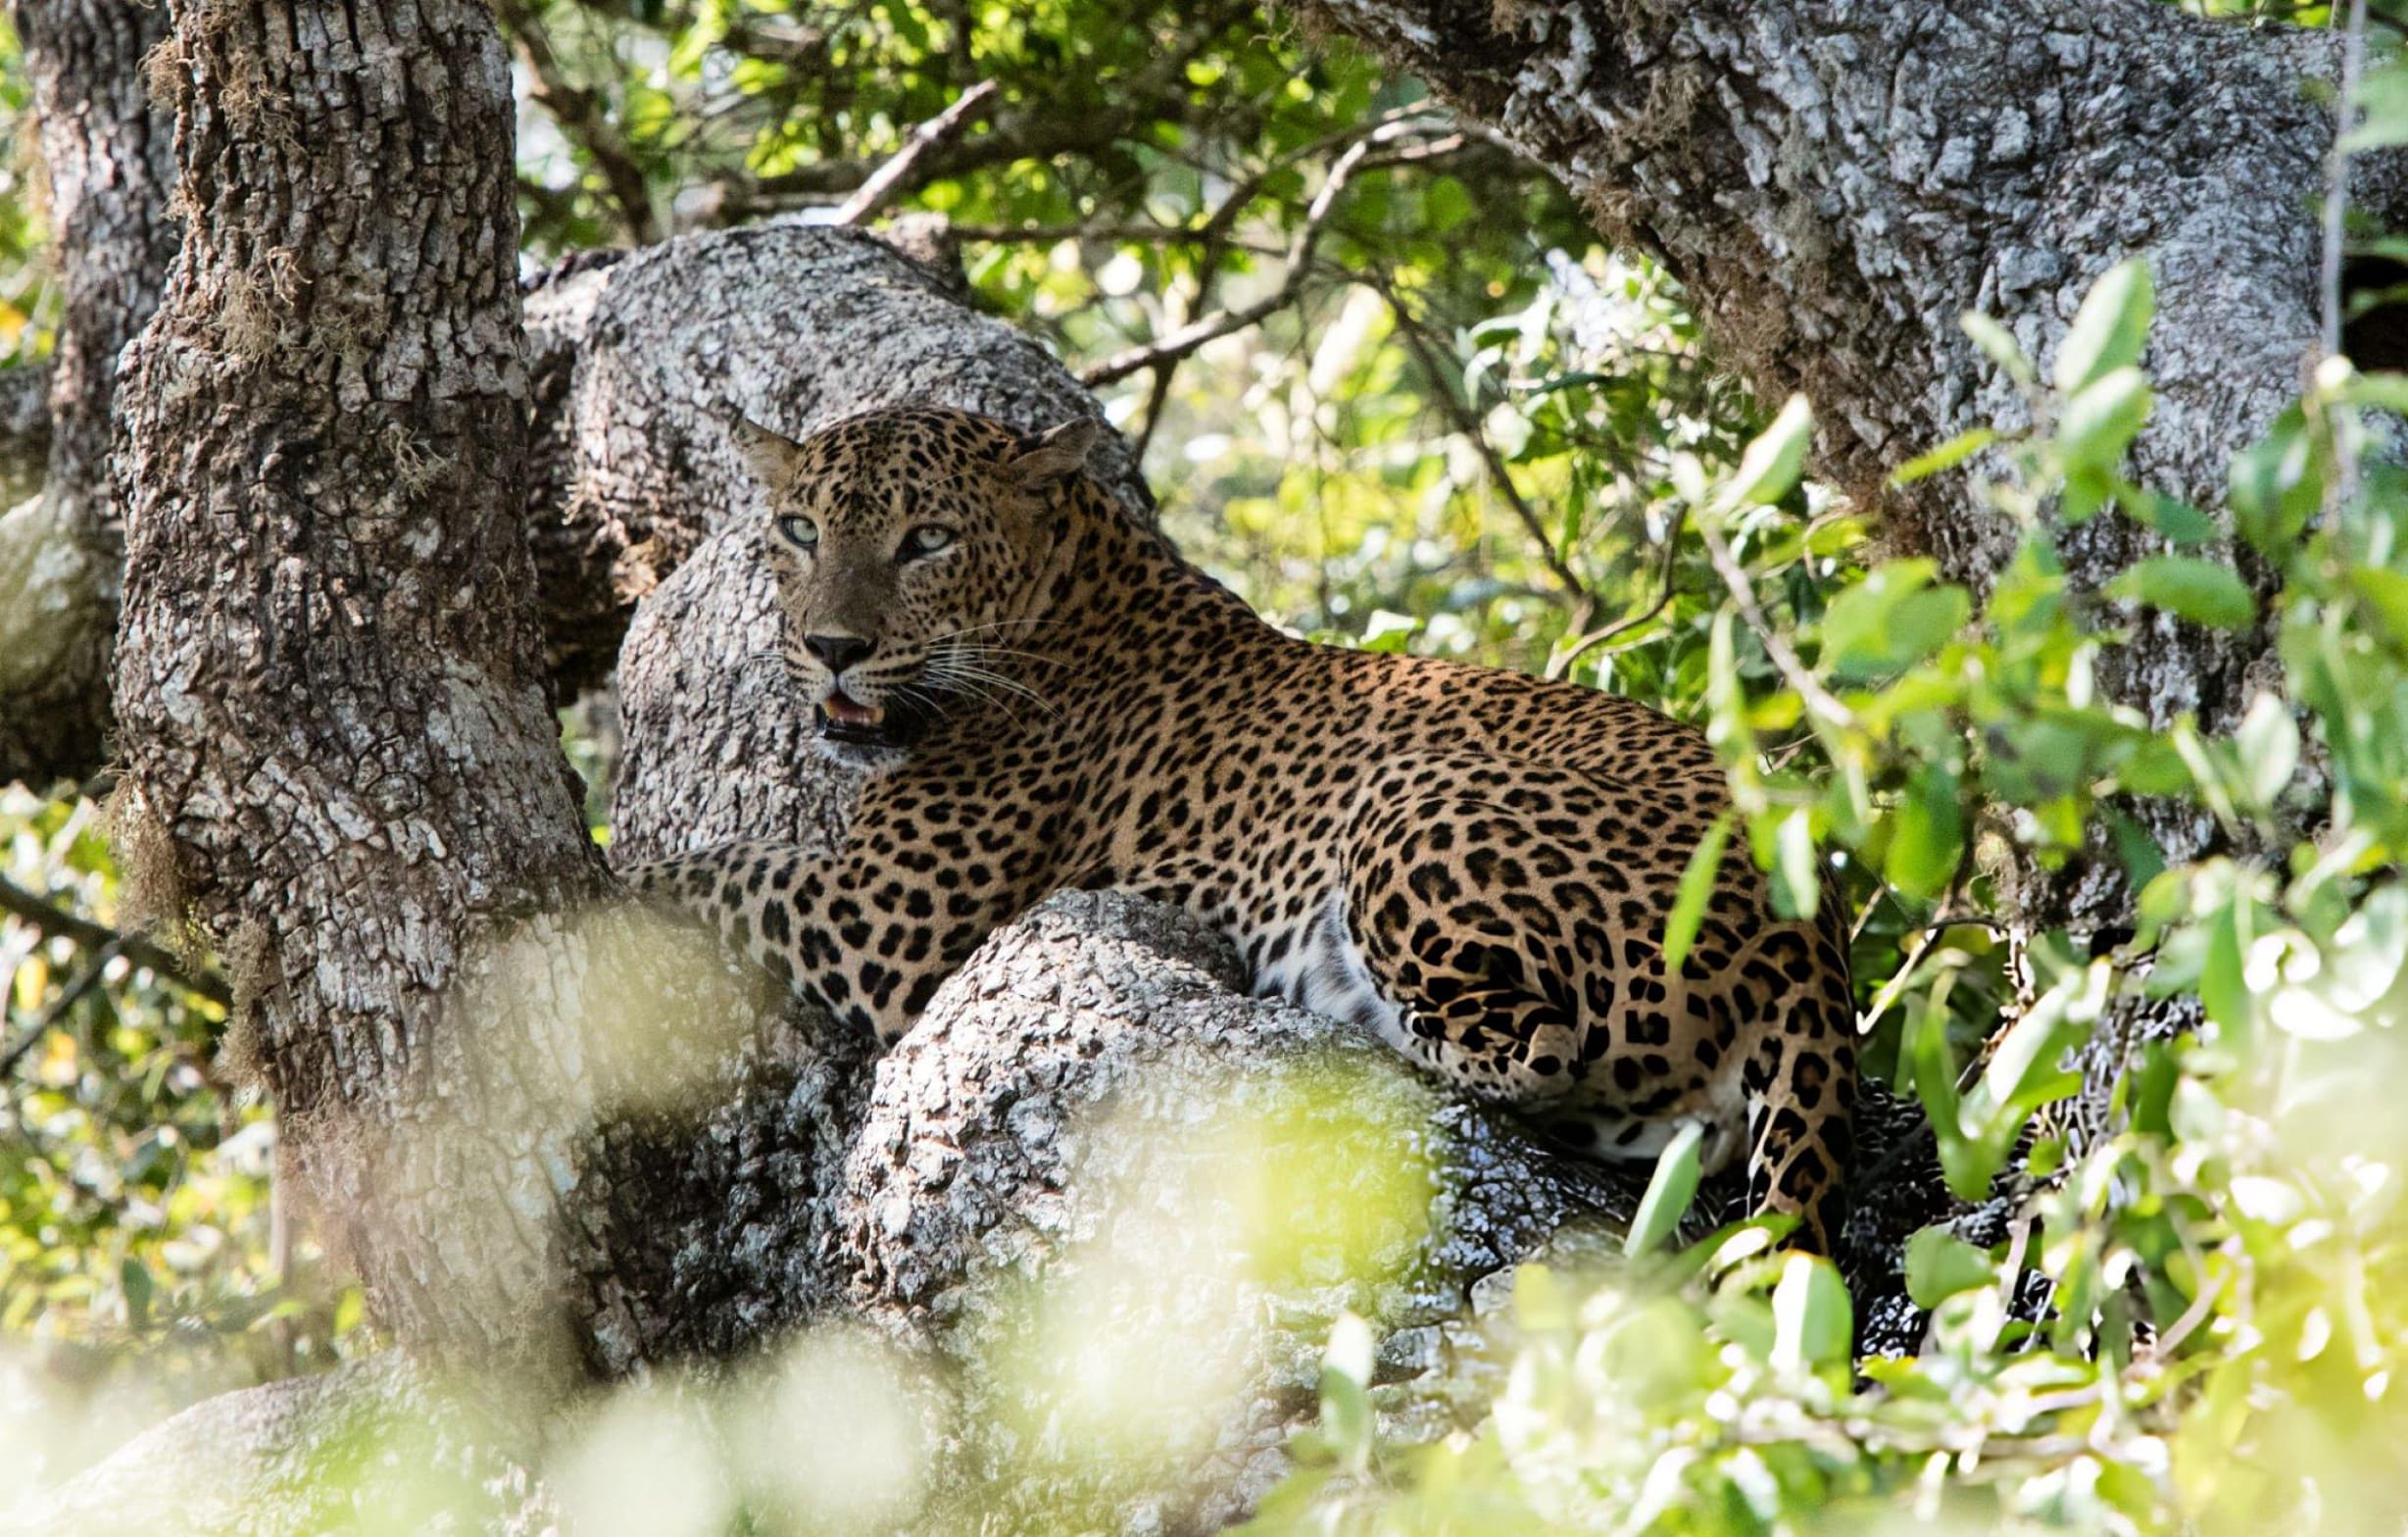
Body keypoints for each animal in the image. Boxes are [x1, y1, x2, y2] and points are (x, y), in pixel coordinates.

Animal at [620, 404, 1859, 1251]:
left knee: (1537, 1047)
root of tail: (1807, 929)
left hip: (1407, 802)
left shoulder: (881, 914)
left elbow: (695, 872)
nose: (830, 647)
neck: (1071, 588)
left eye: (926, 540)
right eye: (797, 529)